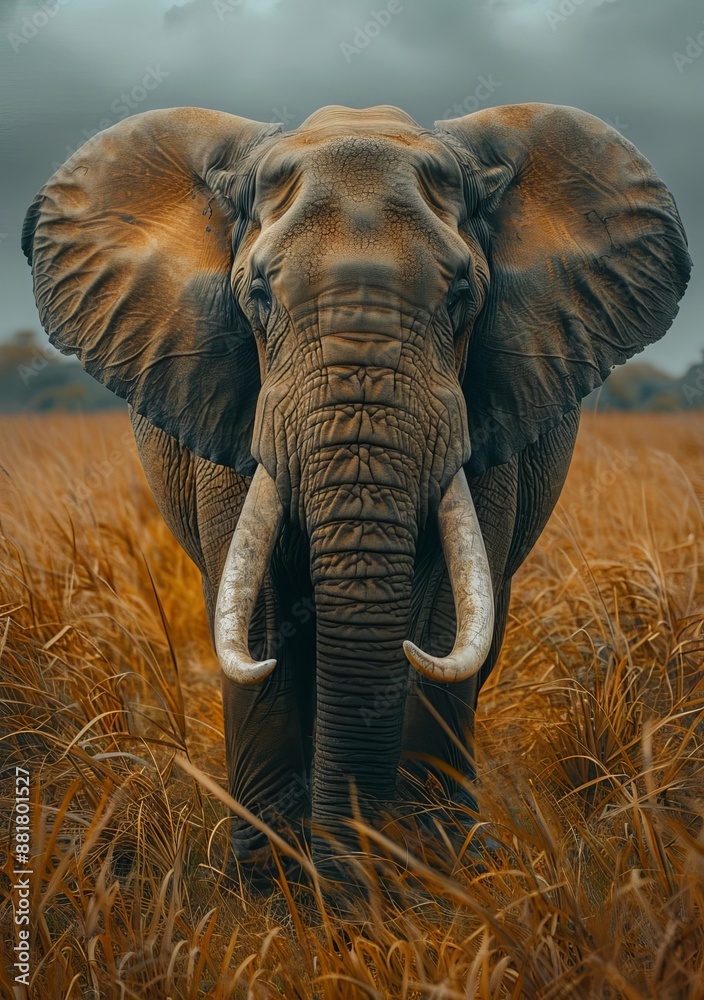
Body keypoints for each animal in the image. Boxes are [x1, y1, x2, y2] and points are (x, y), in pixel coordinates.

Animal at [23, 103, 690, 878]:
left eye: (463, 296)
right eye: (257, 295)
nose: (351, 868)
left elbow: (439, 620)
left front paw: (427, 875)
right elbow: (258, 619)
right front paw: (271, 884)